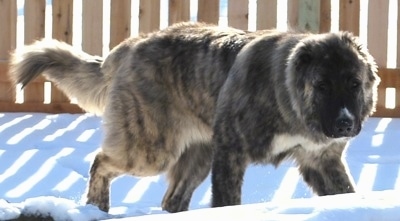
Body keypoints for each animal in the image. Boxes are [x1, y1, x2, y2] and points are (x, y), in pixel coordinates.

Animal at [8, 22, 378, 212]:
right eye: (322, 85)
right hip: (151, 149)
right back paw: (96, 207)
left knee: (171, 201)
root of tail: (130, 46)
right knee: (100, 161)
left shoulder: (321, 161)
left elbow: (345, 191)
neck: (287, 97)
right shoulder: (231, 153)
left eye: (354, 83)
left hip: (197, 157)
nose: (345, 123)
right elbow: (228, 203)